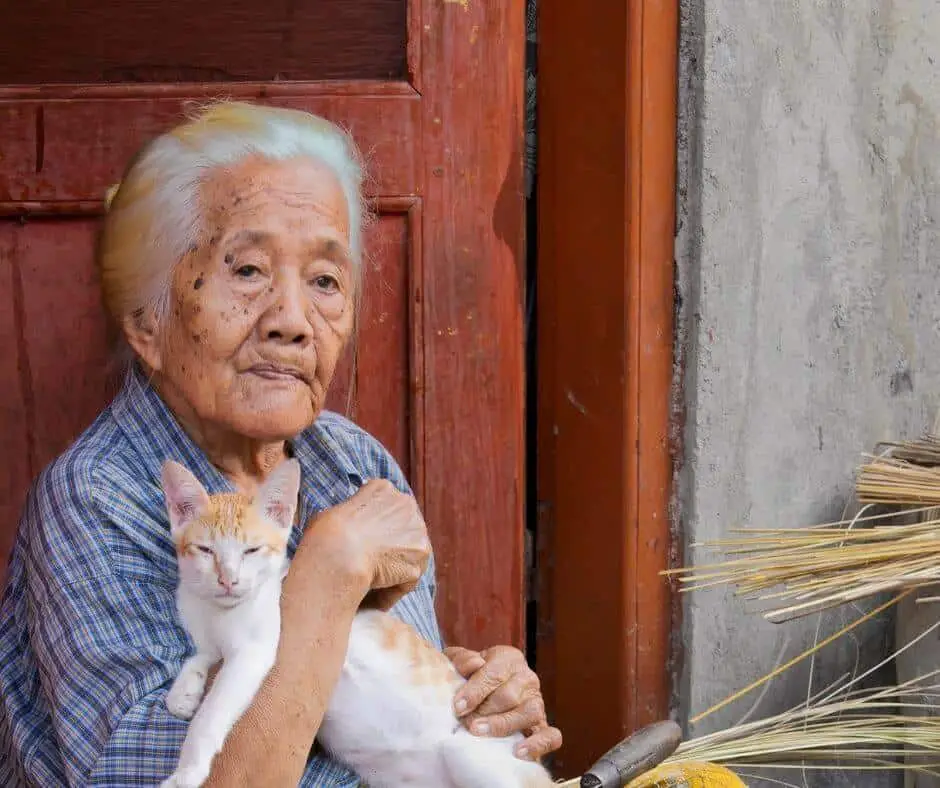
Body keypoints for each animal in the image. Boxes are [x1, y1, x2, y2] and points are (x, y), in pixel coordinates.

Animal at [156, 456, 552, 788]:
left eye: (251, 550)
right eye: (205, 550)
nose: (228, 580)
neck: (217, 611)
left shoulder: (256, 649)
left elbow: (213, 711)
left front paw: (186, 770)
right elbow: (201, 655)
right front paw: (183, 691)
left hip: (471, 754)